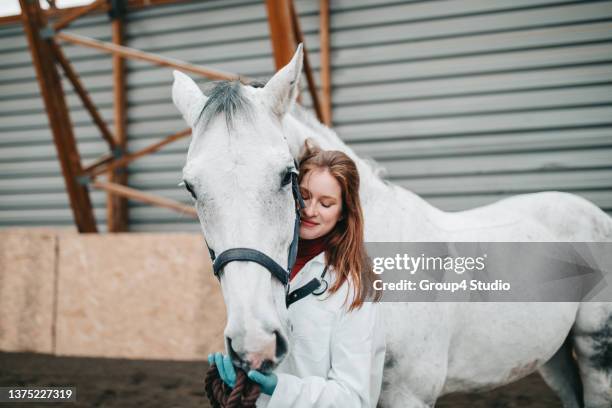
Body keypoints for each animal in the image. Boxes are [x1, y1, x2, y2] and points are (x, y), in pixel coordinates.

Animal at [172, 46, 612, 406]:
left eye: (286, 175)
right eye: (191, 187)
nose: (254, 344)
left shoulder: (409, 394)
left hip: (597, 355)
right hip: (554, 357)